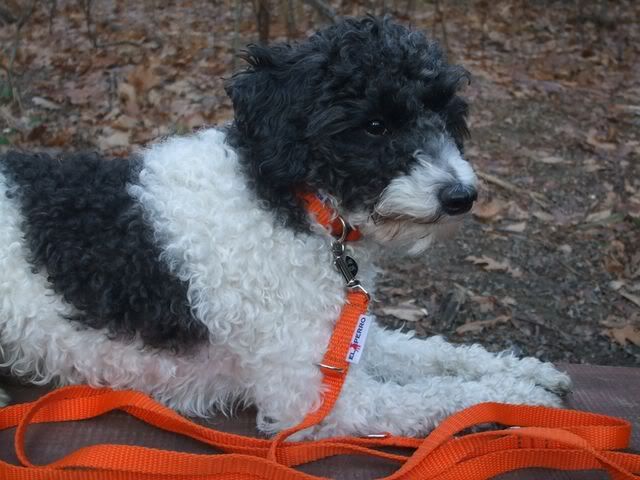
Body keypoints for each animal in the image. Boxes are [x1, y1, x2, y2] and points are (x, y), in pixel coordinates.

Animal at [0, 16, 571, 439]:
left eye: (446, 112)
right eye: (375, 125)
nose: (461, 196)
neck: (294, 207)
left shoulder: (343, 344)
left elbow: (436, 355)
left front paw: (527, 371)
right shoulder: (318, 399)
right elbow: (449, 397)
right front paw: (523, 399)